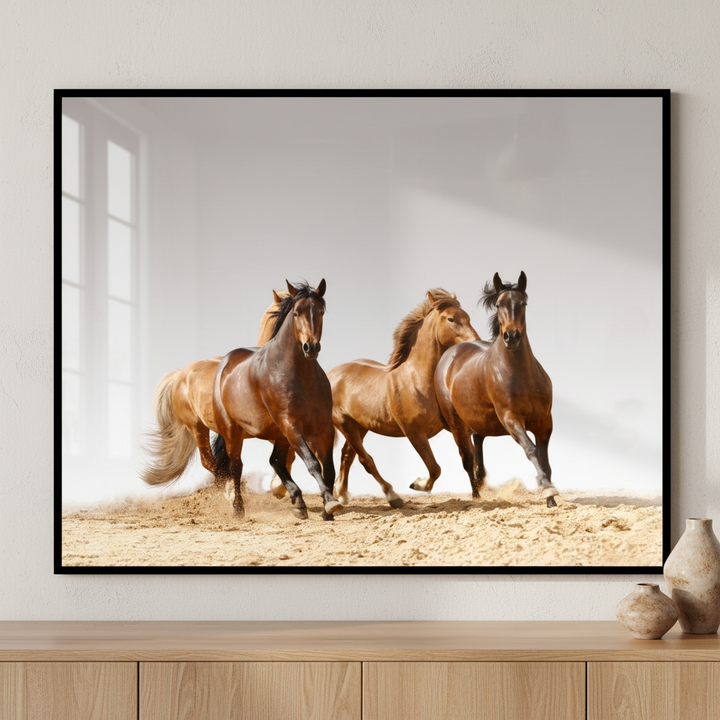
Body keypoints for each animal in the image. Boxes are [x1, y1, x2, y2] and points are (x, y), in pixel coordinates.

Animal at [212, 280, 340, 520]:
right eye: (297, 313)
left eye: (320, 311)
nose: (311, 347)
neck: (300, 376)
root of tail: (225, 363)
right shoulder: (291, 425)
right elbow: (313, 463)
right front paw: (330, 502)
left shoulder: (324, 428)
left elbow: (328, 467)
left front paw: (328, 508)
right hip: (234, 432)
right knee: (237, 467)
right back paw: (239, 509)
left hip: (279, 434)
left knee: (276, 461)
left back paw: (298, 502)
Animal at [328, 289, 480, 508]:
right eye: (451, 319)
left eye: (468, 317)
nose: (475, 341)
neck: (417, 380)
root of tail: (330, 374)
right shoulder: (414, 433)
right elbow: (435, 468)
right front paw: (417, 484)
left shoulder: (454, 426)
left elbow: (468, 458)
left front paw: (478, 494)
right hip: (345, 424)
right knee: (365, 460)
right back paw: (392, 496)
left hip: (360, 426)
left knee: (347, 455)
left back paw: (341, 494)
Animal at [434, 271, 559, 508]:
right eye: (499, 304)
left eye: (522, 303)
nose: (511, 336)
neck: (521, 376)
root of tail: (450, 354)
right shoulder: (510, 419)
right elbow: (531, 450)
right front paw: (548, 489)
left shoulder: (544, 422)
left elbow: (545, 458)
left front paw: (550, 498)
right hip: (456, 424)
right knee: (466, 458)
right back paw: (476, 495)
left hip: (478, 419)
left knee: (478, 445)